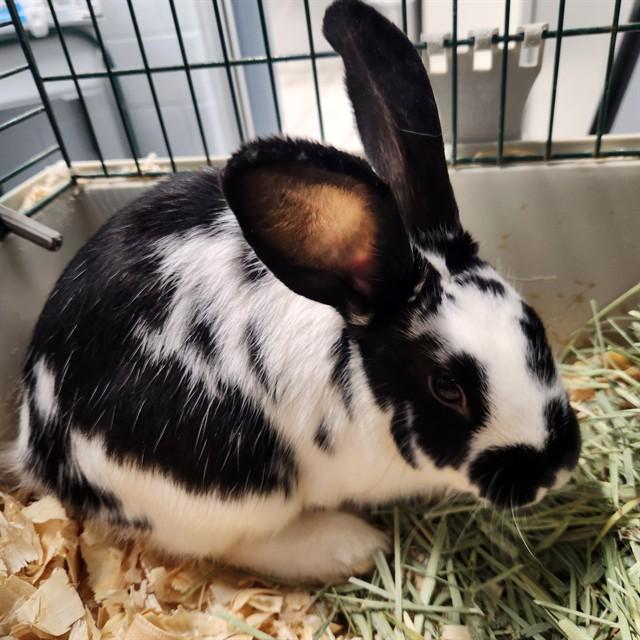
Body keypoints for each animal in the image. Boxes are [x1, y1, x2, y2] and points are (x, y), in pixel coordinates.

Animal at [7, 0, 580, 583]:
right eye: (447, 388)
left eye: (534, 326)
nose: (553, 466)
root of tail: (39, 445)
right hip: (228, 495)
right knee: (237, 545)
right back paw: (350, 545)